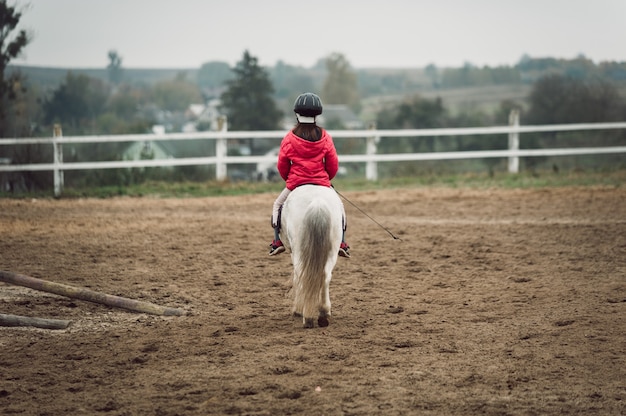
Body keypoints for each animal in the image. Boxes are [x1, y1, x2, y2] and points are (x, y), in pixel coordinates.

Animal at [280, 185, 344, 328]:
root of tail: (317, 203)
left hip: (298, 250)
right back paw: (324, 313)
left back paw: (307, 317)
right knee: (325, 276)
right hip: (332, 249)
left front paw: (297, 310)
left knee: (302, 274)